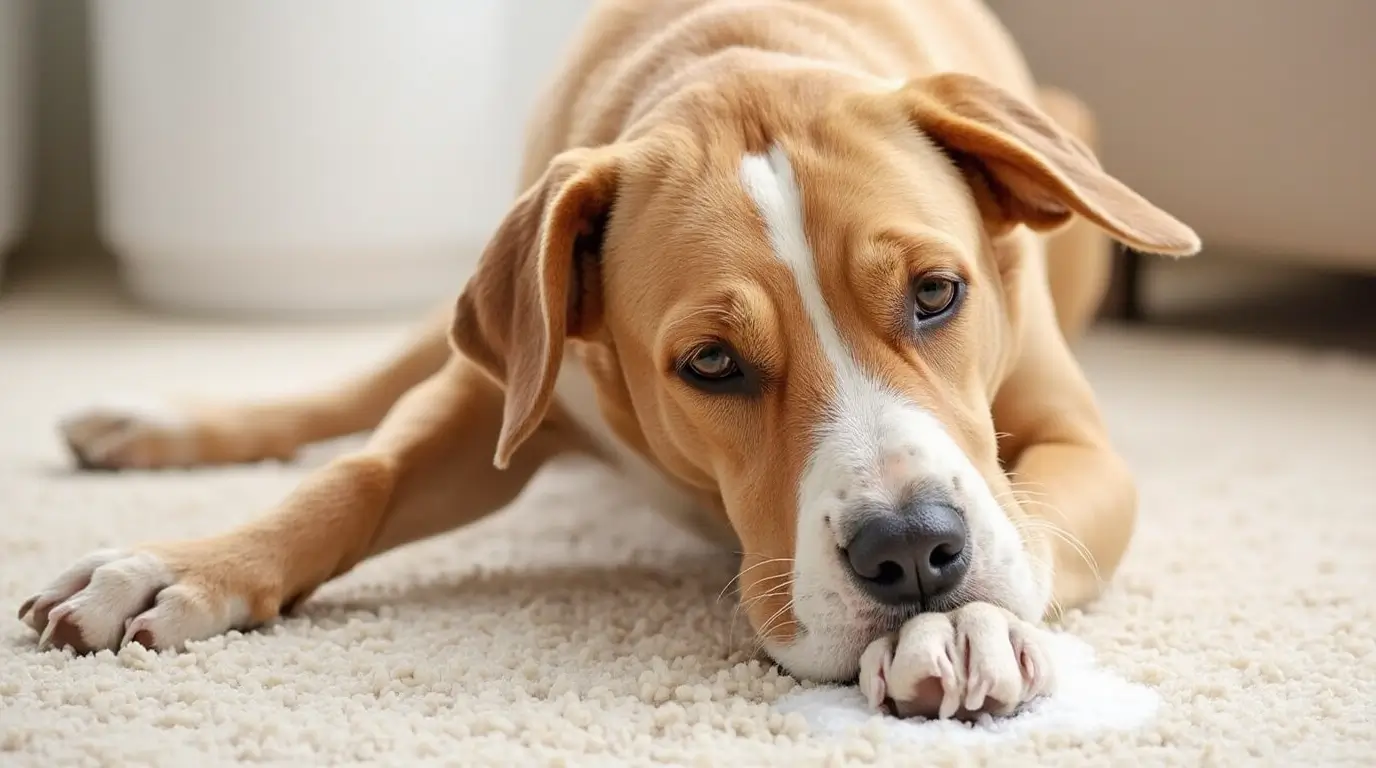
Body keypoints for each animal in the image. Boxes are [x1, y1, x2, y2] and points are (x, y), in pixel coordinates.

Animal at [18, 0, 1194, 721]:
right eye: (712, 362)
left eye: (937, 294)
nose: (910, 554)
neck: (735, 50)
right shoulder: (505, 387)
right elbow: (356, 478)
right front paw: (185, 565)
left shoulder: (1079, 445)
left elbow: (1033, 518)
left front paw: (967, 628)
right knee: (354, 393)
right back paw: (151, 423)